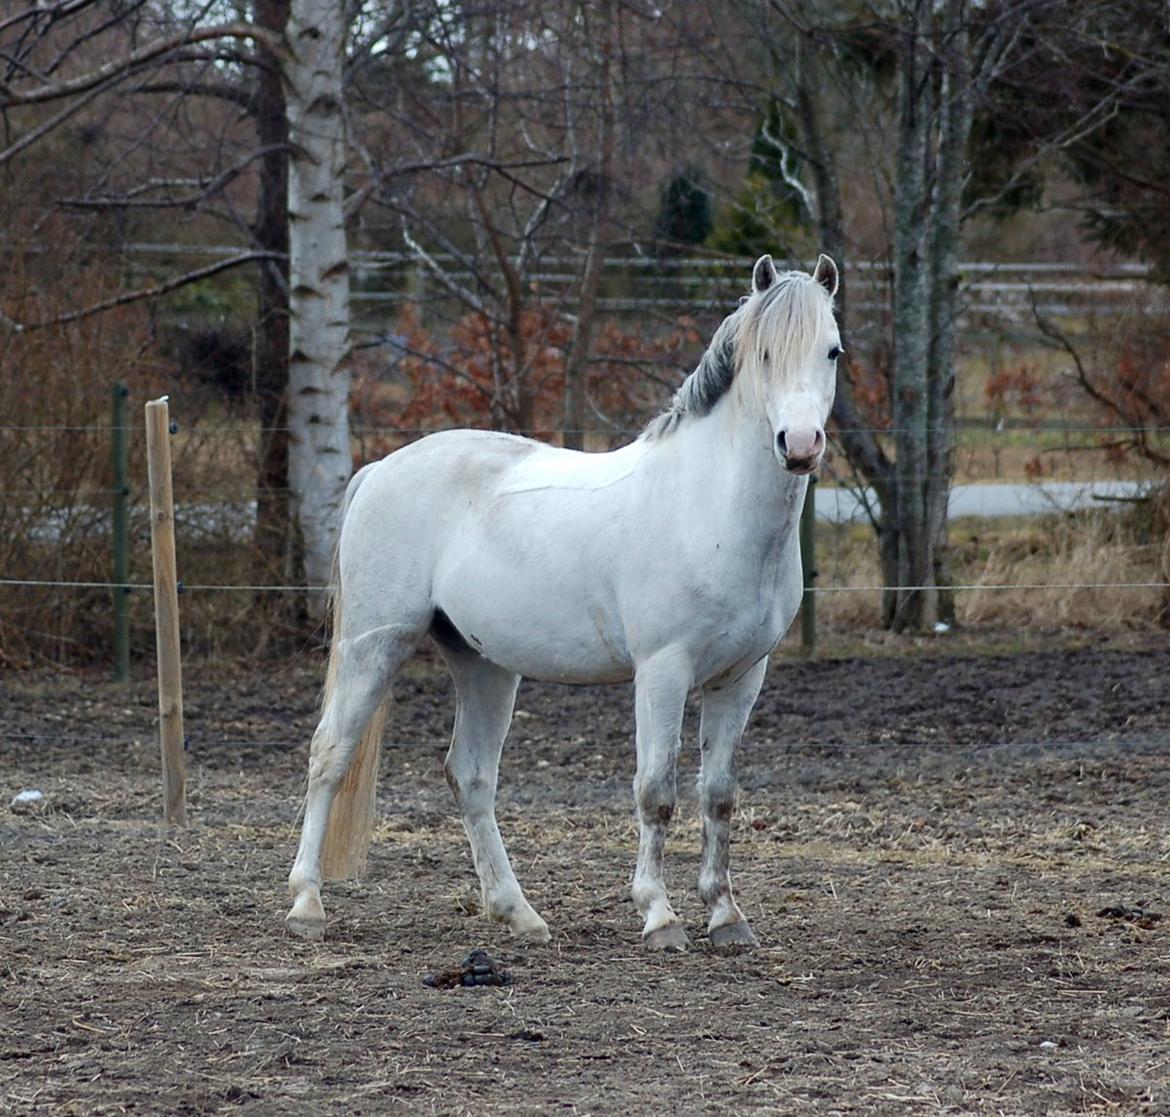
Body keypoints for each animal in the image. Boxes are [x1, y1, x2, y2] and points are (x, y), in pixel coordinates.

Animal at [290, 253, 842, 954]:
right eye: (766, 352)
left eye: (832, 350)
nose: (799, 445)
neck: (709, 506)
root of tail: (379, 469)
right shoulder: (663, 671)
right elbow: (655, 791)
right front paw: (660, 917)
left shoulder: (742, 677)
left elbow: (718, 795)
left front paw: (726, 917)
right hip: (376, 643)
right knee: (330, 754)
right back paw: (306, 903)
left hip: (483, 665)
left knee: (470, 776)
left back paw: (517, 912)